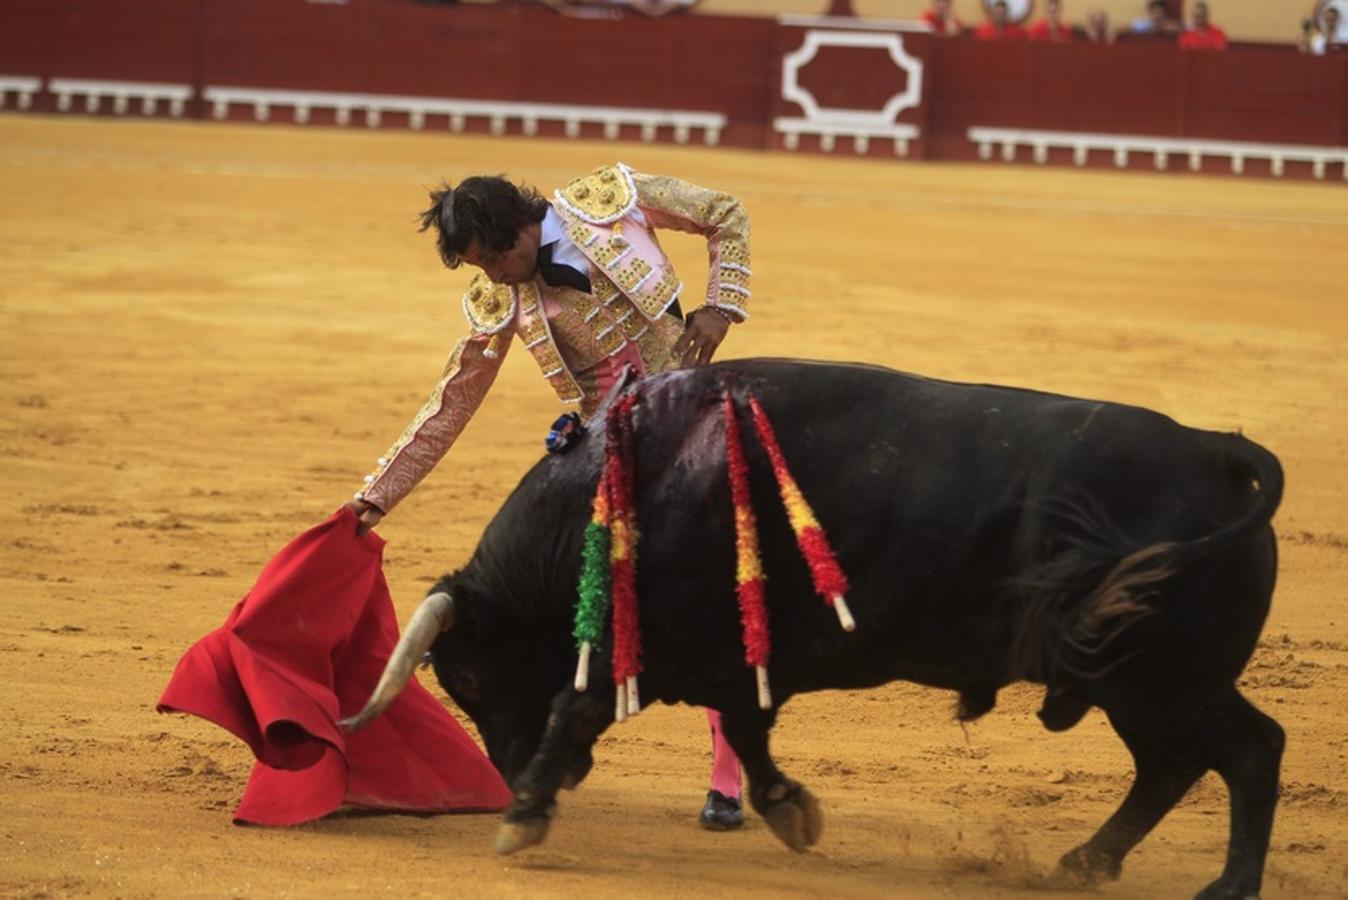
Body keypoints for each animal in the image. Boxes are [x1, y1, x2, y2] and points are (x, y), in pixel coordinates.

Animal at [339, 358, 1283, 900]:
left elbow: (583, 706)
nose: (515, 771)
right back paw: (1084, 865)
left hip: (1164, 680)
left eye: (467, 678)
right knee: (1173, 767)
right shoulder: (731, 658)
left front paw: (525, 814)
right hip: (1141, 683)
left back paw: (1226, 886)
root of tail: (1215, 450)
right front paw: (792, 811)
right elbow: (749, 733)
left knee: (1244, 751)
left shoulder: (643, 650)